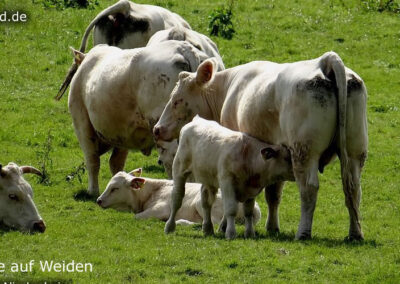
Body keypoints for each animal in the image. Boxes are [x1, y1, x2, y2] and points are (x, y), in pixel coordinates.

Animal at [67, 40, 209, 196]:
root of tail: (183, 48)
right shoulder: (123, 133)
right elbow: (116, 162)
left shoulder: (82, 124)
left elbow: (92, 160)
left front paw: (92, 191)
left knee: (172, 159)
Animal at [95, 168, 260, 225]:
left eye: (115, 188)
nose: (99, 200)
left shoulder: (161, 208)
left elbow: (137, 217)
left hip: (202, 203)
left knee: (212, 223)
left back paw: (181, 222)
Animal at [164, 116, 296, 239]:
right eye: (286, 158)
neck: (248, 156)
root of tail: (197, 120)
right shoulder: (227, 182)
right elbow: (231, 209)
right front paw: (231, 233)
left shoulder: (251, 189)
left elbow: (249, 212)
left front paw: (250, 233)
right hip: (179, 169)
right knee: (177, 199)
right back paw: (169, 227)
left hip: (208, 178)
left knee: (206, 202)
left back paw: (208, 229)